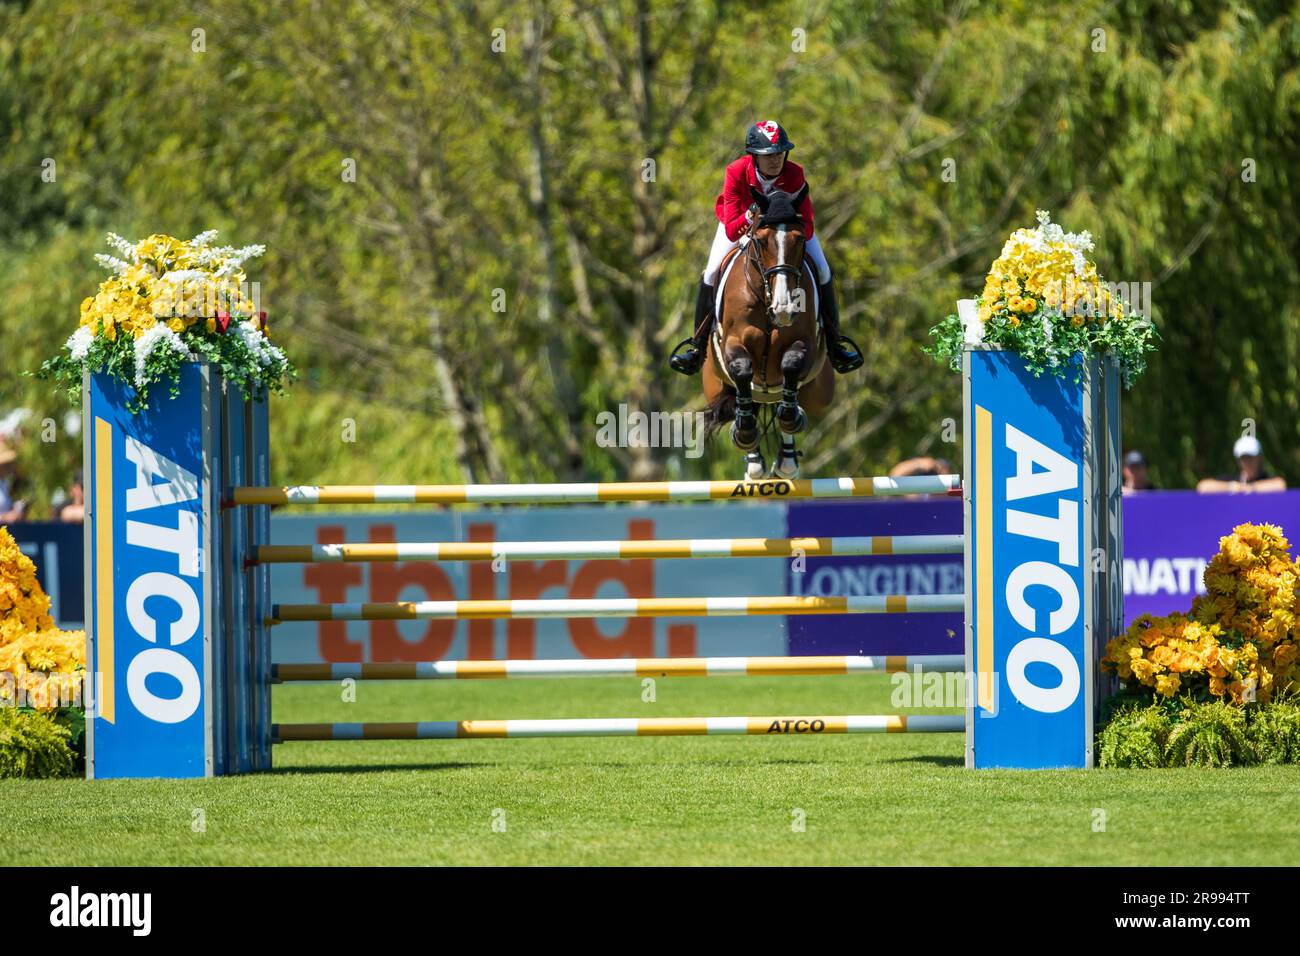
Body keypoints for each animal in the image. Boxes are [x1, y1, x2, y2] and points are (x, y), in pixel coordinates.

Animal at [702, 182, 832, 478]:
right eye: (761, 241)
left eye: (800, 239)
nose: (784, 308)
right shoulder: (733, 342)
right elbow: (742, 370)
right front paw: (745, 434)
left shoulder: (804, 342)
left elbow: (791, 364)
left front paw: (791, 419)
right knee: (746, 396)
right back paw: (753, 459)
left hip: (819, 392)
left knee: (787, 395)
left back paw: (786, 460)